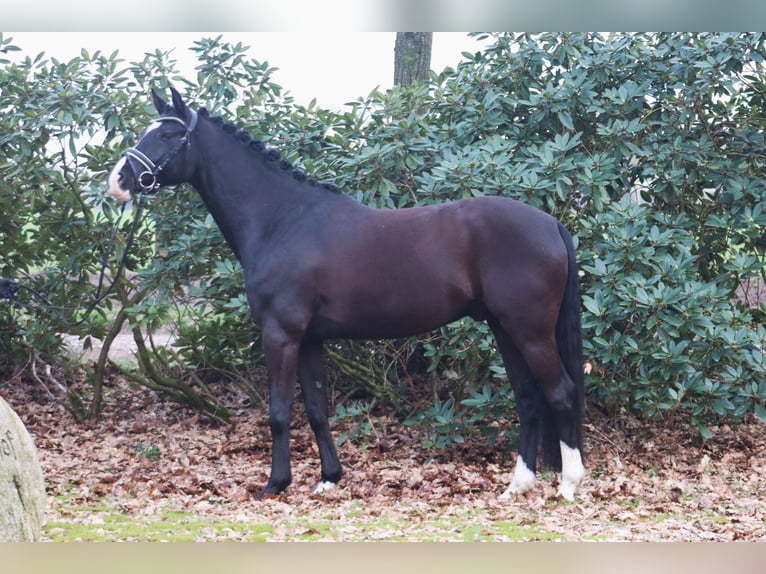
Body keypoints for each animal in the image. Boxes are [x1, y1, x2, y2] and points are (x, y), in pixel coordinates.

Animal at [108, 88, 588, 502]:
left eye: (167, 135)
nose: (119, 179)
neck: (282, 219)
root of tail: (550, 223)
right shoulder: (310, 339)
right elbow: (317, 409)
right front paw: (328, 479)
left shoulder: (280, 335)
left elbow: (279, 412)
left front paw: (275, 484)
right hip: (505, 329)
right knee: (529, 399)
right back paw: (518, 486)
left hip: (529, 331)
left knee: (561, 394)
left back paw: (567, 486)